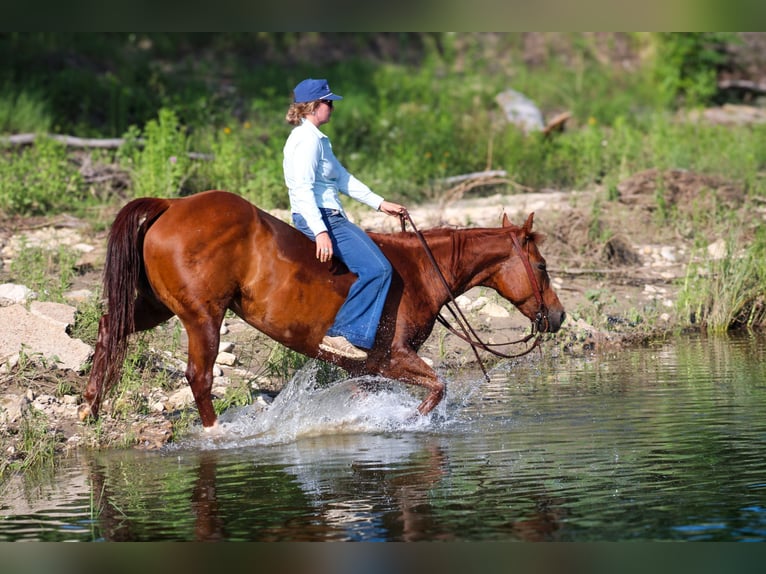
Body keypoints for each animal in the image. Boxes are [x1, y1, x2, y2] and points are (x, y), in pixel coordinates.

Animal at [81, 191, 568, 430]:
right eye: (543, 266)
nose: (558, 317)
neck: (419, 270)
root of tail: (172, 206)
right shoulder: (394, 357)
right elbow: (437, 389)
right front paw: (407, 423)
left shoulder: (366, 369)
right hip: (202, 317)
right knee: (198, 377)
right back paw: (215, 432)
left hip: (158, 306)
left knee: (110, 329)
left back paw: (90, 408)